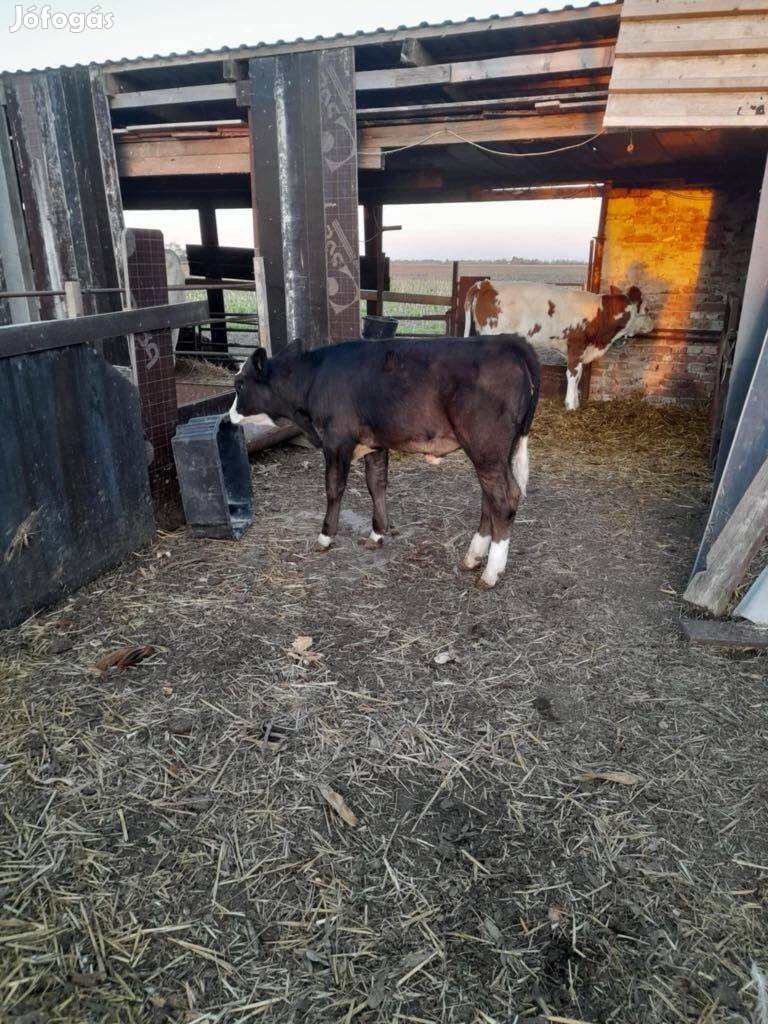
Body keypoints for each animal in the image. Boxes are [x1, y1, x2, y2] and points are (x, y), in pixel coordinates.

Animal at [466, 282, 651, 409]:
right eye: (647, 309)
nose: (652, 325)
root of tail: (485, 284)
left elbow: (579, 374)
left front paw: (576, 401)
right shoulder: (576, 345)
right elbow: (573, 374)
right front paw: (570, 405)